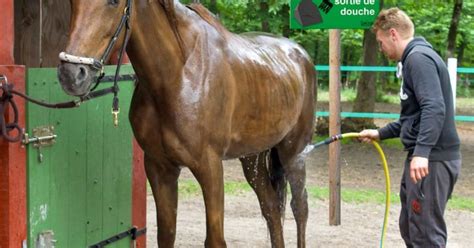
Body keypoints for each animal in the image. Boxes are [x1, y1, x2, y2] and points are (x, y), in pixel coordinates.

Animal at [58, 0, 314, 247]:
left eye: (113, 2)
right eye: (71, 2)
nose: (71, 75)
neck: (179, 76)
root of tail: (300, 54)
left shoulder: (210, 167)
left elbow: (215, 240)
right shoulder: (160, 167)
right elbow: (166, 235)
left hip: (294, 153)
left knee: (299, 208)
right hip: (253, 158)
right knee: (271, 208)